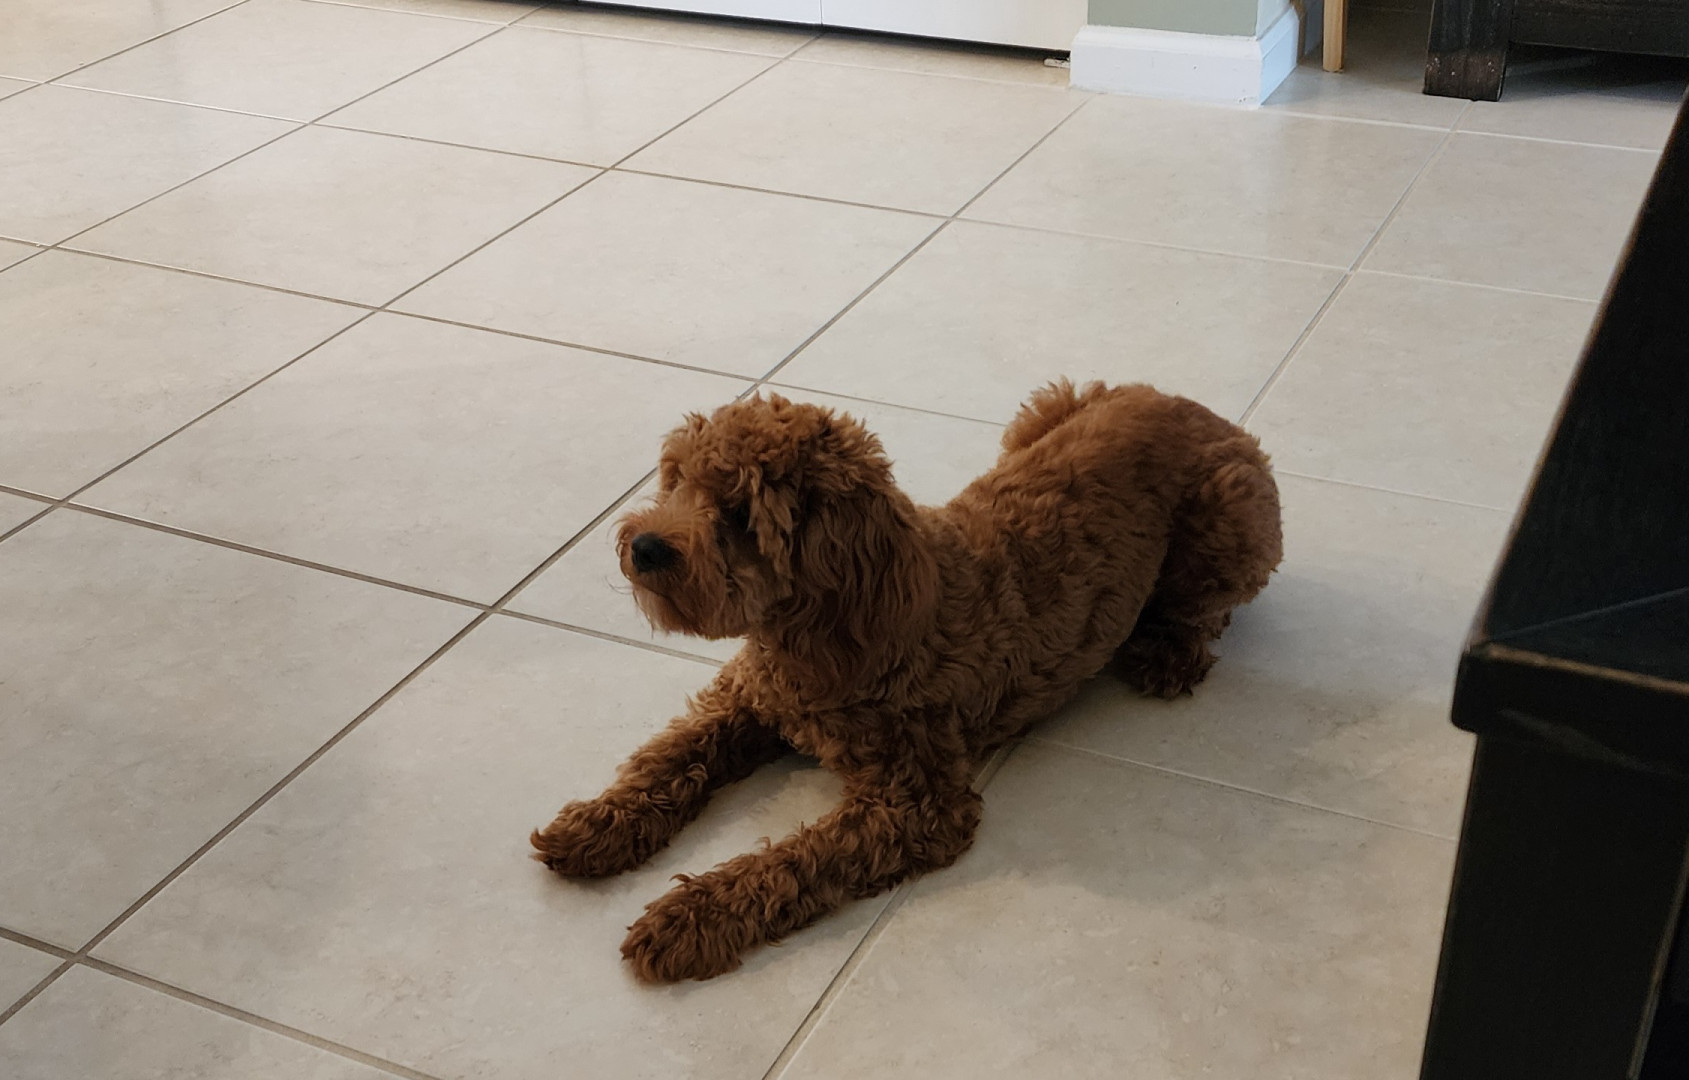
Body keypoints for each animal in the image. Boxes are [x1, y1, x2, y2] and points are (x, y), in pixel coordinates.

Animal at [532, 380, 1282, 983]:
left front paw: (687, 917)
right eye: (675, 481)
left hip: (1229, 518)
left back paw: (1169, 650)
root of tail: (1191, 405)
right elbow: (670, 754)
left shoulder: (917, 802)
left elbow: (792, 861)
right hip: (1042, 411)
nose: (642, 546)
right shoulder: (749, 699)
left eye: (740, 514)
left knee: (1207, 608)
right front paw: (596, 825)